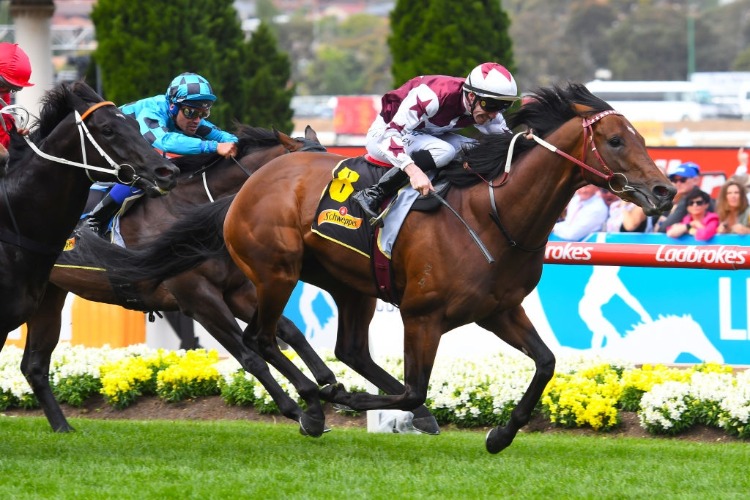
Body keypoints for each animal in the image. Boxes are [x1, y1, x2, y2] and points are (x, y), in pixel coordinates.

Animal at [22, 124, 338, 430]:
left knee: (34, 366)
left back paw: (62, 427)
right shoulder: (198, 299)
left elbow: (287, 331)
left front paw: (330, 388)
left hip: (48, 296)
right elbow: (250, 358)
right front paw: (301, 411)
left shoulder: (236, 292)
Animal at [104, 83, 676, 450]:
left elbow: (546, 363)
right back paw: (314, 403)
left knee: (345, 348)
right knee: (261, 339)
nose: (664, 191)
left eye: (643, 139)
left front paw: (501, 433)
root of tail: (247, 186)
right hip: (274, 273)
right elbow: (415, 386)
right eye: (616, 141)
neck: (494, 214)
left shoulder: (499, 309)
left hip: (349, 285)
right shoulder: (422, 315)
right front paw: (351, 398)